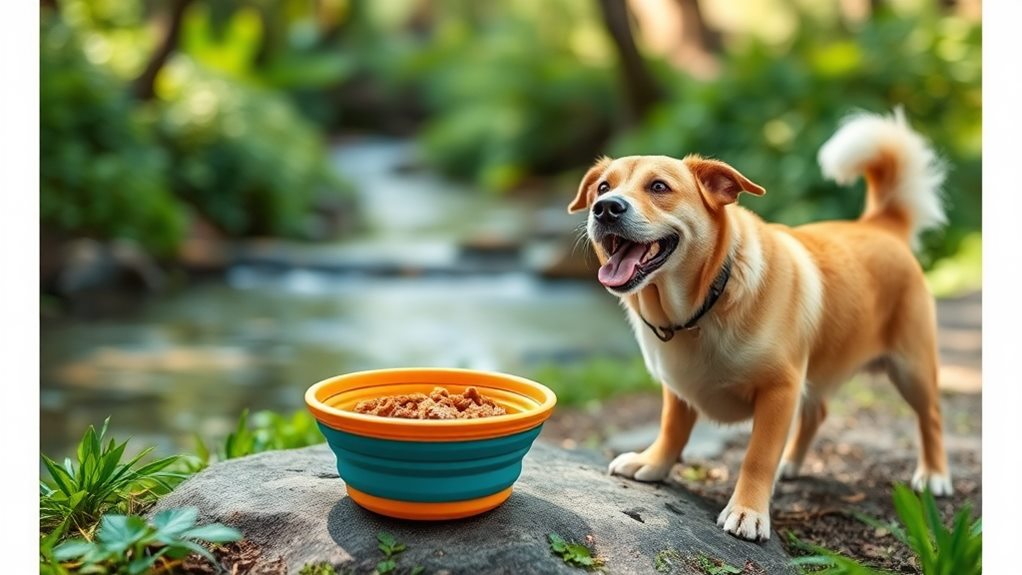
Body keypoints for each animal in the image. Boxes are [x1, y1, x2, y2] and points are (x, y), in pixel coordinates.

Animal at [572, 110, 952, 543]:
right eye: (603, 187)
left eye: (658, 187)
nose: (605, 208)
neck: (706, 302)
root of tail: (881, 225)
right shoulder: (678, 389)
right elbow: (672, 428)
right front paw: (652, 463)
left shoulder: (780, 389)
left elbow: (757, 457)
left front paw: (748, 511)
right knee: (818, 412)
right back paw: (794, 463)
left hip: (912, 369)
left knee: (931, 417)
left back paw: (934, 475)